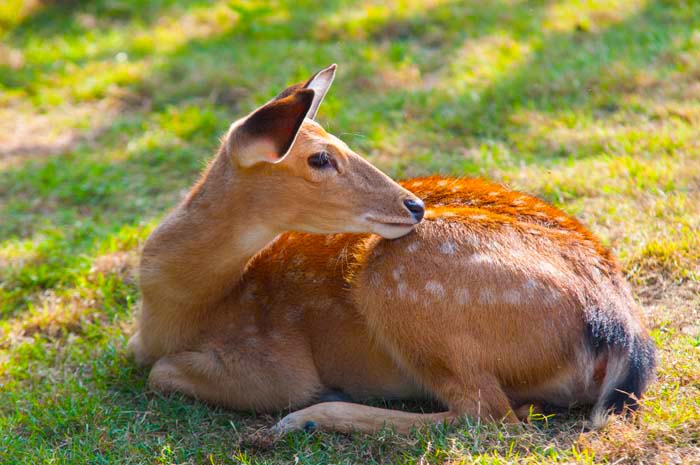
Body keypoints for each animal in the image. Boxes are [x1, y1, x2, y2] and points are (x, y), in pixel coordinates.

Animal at [130, 64, 656, 436]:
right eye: (320, 157)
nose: (414, 204)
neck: (180, 312)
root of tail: (622, 335)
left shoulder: (276, 366)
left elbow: (161, 372)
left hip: (401, 280)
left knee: (486, 412)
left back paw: (310, 419)